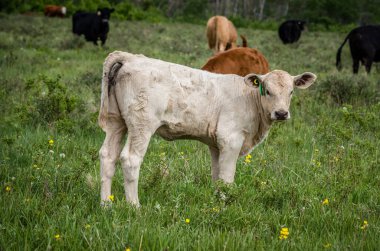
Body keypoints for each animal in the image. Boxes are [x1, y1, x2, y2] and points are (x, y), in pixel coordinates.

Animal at [98, 51, 318, 206]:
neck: (250, 99)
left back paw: (106, 205)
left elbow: (217, 177)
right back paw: (135, 207)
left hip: (116, 122)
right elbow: (227, 178)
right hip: (141, 124)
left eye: (291, 92)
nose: (281, 113)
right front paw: (226, 206)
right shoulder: (231, 139)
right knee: (130, 159)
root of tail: (130, 57)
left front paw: (216, 203)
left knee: (108, 156)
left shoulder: (216, 145)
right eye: (268, 91)